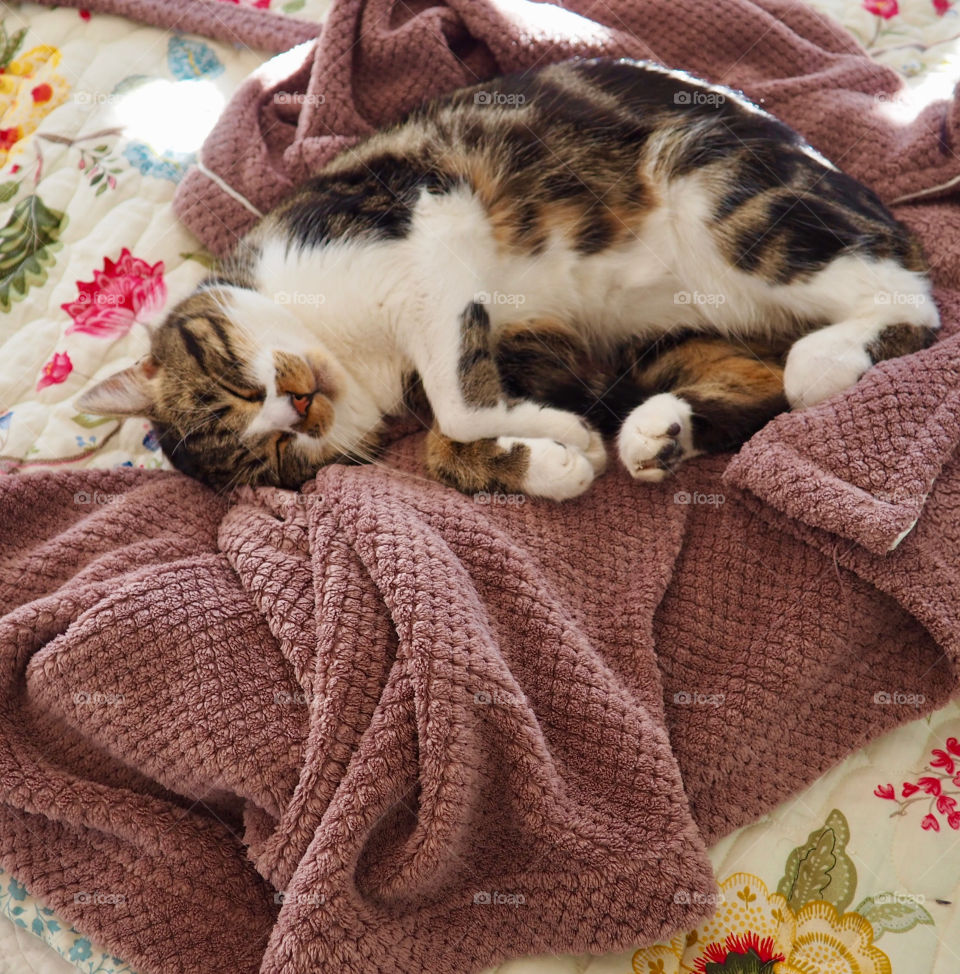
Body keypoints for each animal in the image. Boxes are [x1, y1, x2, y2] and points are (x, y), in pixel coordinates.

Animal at [77, 57, 936, 500]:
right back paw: (659, 434)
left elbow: (457, 408)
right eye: (276, 458)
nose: (299, 405)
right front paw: (555, 455)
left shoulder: (423, 220)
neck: (354, 351)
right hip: (664, 333)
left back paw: (826, 362)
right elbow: (447, 438)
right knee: (748, 379)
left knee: (904, 311)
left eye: (226, 377)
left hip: (717, 189)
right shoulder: (524, 340)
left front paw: (560, 438)